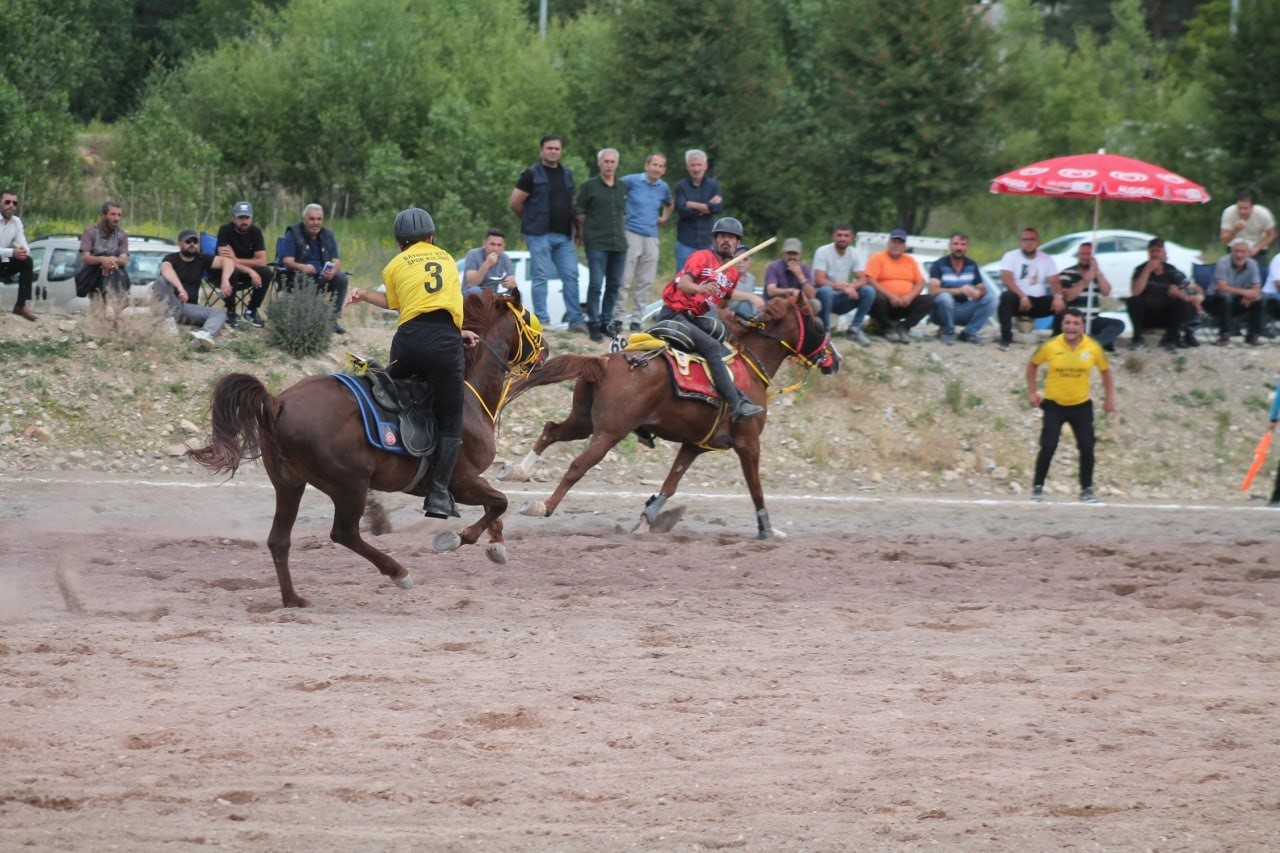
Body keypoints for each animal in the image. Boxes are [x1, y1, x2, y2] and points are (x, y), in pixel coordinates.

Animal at [188, 290, 545, 604]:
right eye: (528, 319)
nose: (546, 351)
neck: (470, 393)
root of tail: (279, 403)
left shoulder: (469, 482)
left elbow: (495, 505)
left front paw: (496, 545)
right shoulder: (462, 481)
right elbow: (498, 502)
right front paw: (460, 538)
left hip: (289, 484)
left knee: (279, 540)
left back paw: (293, 600)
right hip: (350, 484)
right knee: (344, 533)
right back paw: (399, 573)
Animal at [499, 290, 839, 532]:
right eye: (819, 324)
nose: (835, 359)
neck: (749, 367)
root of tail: (606, 361)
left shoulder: (695, 444)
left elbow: (671, 484)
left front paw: (649, 516)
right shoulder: (748, 443)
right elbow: (756, 488)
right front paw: (767, 529)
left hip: (583, 422)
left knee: (550, 430)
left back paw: (517, 471)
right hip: (609, 432)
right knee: (577, 466)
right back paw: (543, 506)